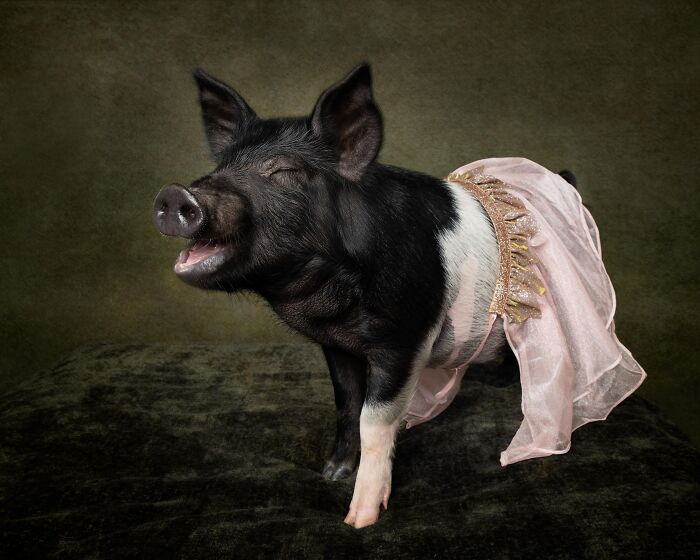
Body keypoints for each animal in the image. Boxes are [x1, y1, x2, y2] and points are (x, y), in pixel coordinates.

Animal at [153, 64, 574, 528]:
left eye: (282, 172)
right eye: (222, 164)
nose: (174, 194)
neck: (327, 299)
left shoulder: (404, 336)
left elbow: (374, 420)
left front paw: (359, 520)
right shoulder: (335, 345)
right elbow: (347, 405)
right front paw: (332, 473)